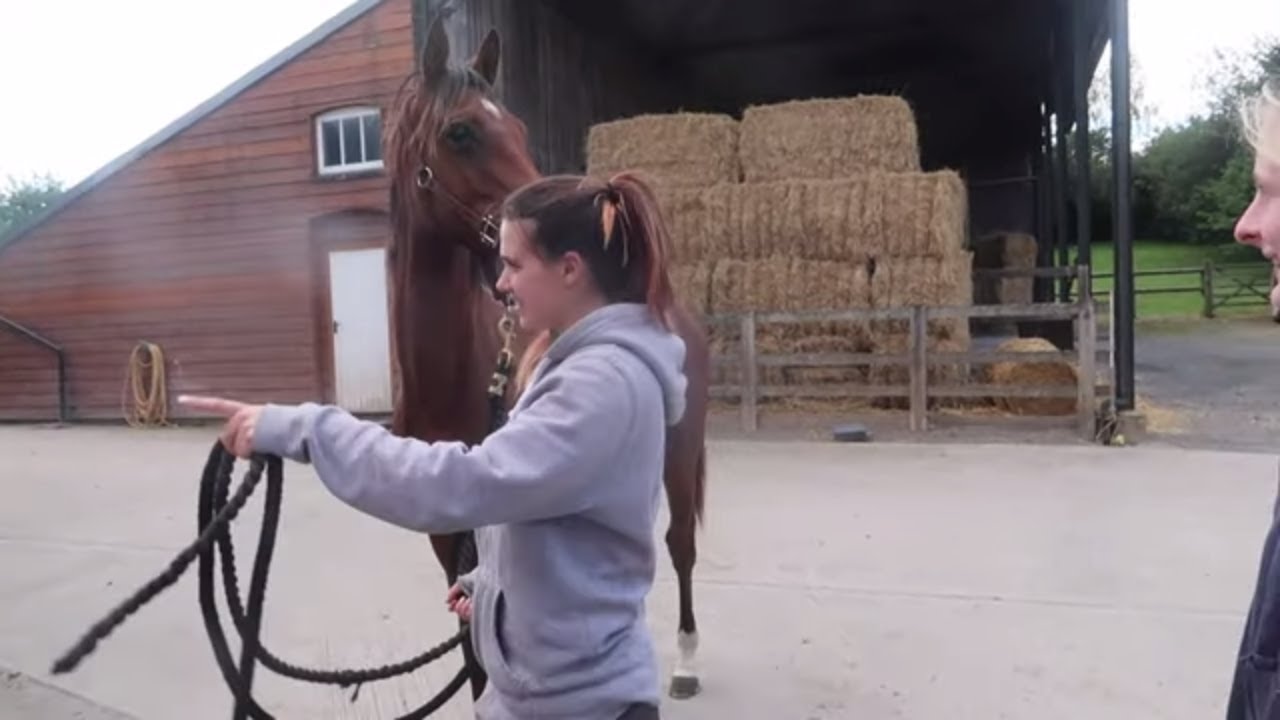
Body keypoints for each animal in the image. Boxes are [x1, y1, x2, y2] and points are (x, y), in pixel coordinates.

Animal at [380, 15, 711, 702]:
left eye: (519, 127)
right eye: (460, 131)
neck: (455, 376)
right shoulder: (448, 537)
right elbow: (472, 648)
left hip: (681, 453)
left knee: (680, 545)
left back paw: (686, 664)